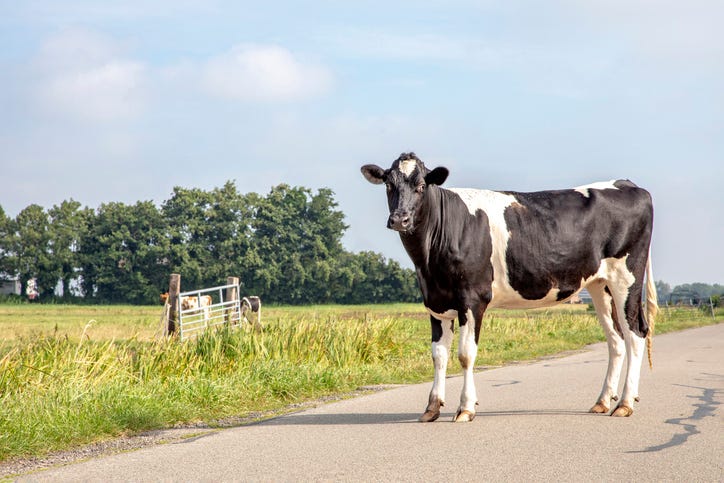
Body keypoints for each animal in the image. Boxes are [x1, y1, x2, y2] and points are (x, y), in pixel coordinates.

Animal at [361, 152, 657, 422]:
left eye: (422, 186)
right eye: (389, 184)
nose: (400, 219)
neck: (428, 260)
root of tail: (627, 184)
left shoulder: (473, 299)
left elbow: (465, 355)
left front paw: (466, 408)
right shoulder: (435, 302)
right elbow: (438, 356)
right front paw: (432, 408)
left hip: (626, 278)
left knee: (635, 334)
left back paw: (625, 403)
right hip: (599, 285)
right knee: (615, 339)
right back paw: (603, 401)